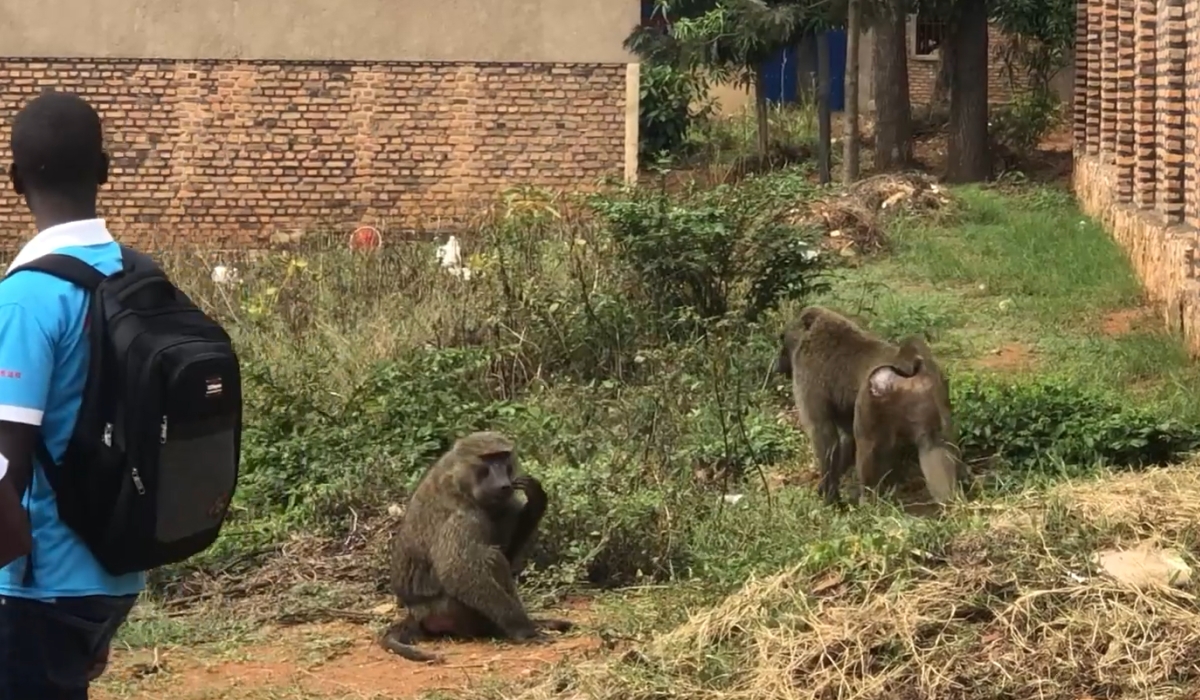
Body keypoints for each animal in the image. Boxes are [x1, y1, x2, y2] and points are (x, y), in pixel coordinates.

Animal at [381, 431, 573, 663]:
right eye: (488, 459)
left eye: (503, 457)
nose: (504, 483)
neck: (460, 481)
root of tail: (415, 614)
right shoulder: (463, 517)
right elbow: (458, 571)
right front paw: (524, 630)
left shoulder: (504, 503)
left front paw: (537, 498)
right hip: (449, 613)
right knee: (491, 558)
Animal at [775, 305, 958, 505]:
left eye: (782, 338)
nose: (778, 364)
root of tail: (907, 364)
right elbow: (846, 437)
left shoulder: (805, 372)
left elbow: (824, 434)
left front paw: (830, 496)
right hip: (931, 391)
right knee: (935, 447)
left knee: (866, 447)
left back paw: (867, 503)